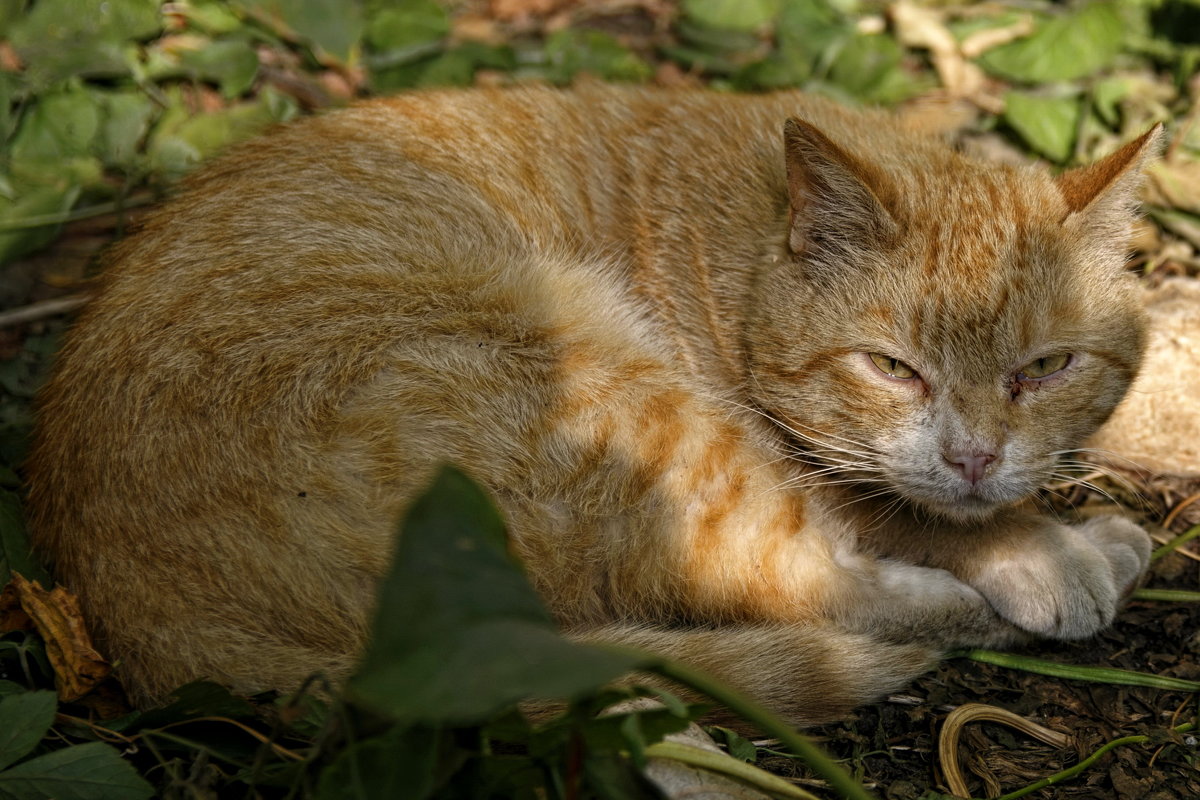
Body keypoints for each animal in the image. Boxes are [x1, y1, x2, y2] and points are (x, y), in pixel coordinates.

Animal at [21, 84, 1161, 724]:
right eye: (893, 367)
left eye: (1045, 367)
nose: (974, 456)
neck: (739, 242)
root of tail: (138, 613)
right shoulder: (784, 445)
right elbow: (892, 508)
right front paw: (1035, 543)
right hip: (596, 385)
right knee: (789, 580)